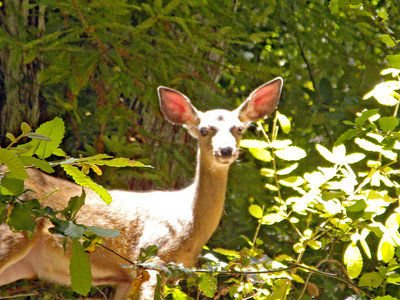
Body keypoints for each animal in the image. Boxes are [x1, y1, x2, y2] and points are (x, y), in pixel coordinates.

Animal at [0, 77, 282, 298]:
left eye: (240, 129)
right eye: (203, 130)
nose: (225, 150)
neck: (189, 224)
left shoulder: (132, 277)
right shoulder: (149, 256)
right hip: (13, 229)